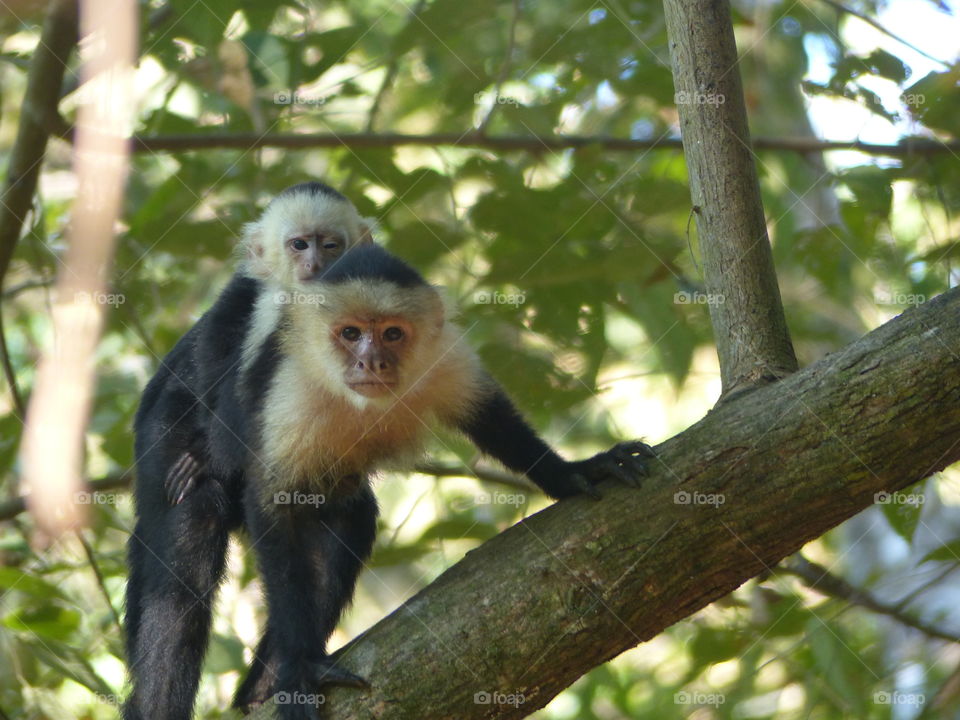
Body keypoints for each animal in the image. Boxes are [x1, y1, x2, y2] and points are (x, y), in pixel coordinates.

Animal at [124, 243, 653, 720]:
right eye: (350, 333)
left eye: (393, 334)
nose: (371, 362)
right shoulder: (289, 388)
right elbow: (274, 507)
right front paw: (301, 667)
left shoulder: (444, 356)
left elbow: (491, 418)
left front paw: (572, 472)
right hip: (167, 449)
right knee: (194, 526)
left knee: (350, 517)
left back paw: (260, 687)